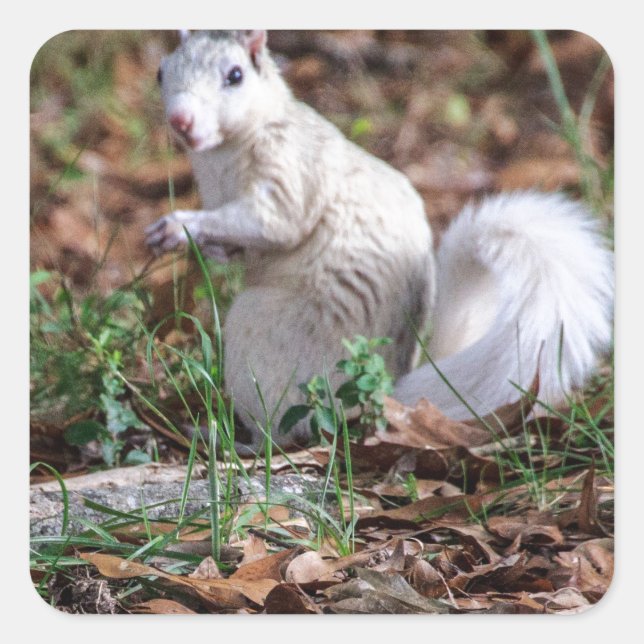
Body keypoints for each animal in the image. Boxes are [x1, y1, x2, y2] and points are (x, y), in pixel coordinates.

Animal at [146, 30, 614, 452]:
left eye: (235, 76)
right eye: (161, 72)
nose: (180, 121)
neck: (227, 150)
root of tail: (382, 393)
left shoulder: (290, 167)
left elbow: (277, 222)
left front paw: (181, 225)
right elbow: (238, 244)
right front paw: (193, 240)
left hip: (263, 342)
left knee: (282, 433)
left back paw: (231, 442)